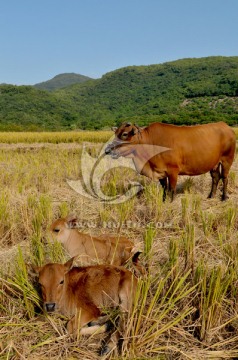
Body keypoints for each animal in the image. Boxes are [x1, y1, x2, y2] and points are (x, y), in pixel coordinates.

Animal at [104, 121, 236, 200]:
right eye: (115, 133)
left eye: (125, 134)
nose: (107, 150)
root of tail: (225, 125)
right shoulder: (160, 172)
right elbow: (164, 189)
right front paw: (163, 201)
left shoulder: (173, 171)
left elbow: (171, 190)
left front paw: (170, 202)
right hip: (214, 164)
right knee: (216, 177)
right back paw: (211, 196)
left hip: (227, 160)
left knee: (224, 177)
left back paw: (224, 197)